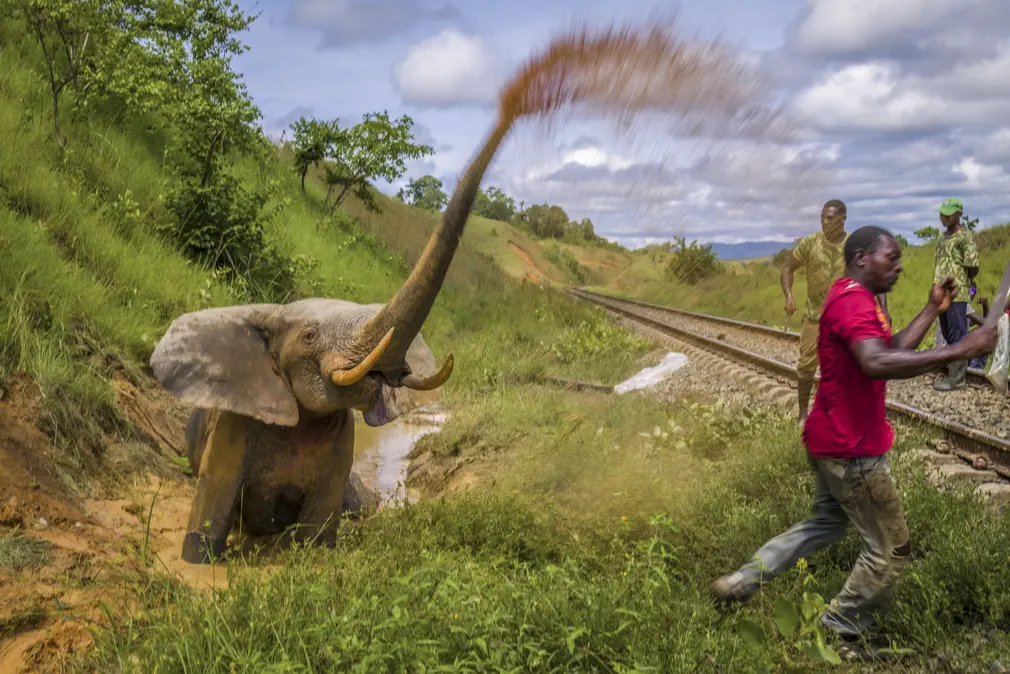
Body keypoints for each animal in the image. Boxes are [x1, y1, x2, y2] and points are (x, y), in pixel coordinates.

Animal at [148, 117, 513, 565]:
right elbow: (212, 507)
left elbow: (319, 531)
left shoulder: (341, 440)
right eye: (309, 336)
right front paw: (198, 563)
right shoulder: (233, 425)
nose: (512, 109)